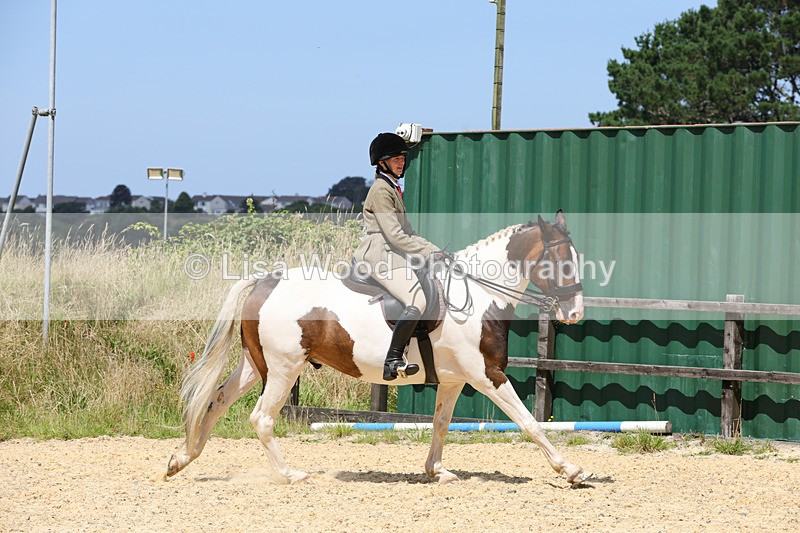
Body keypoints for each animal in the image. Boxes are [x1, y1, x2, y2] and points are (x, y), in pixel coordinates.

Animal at [165, 210, 590, 486]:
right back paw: (291, 474)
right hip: (285, 369)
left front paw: (437, 471)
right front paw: (570, 470)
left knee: (215, 402)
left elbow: (440, 423)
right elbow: (528, 422)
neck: (479, 294)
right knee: (262, 419)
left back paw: (181, 460)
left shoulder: (455, 379)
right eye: (562, 261)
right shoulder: (487, 375)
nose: (575, 312)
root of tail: (265, 281)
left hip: (256, 365)